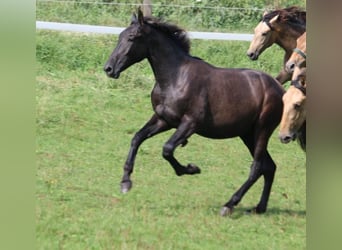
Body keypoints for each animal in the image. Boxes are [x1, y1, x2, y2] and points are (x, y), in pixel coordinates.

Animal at [103, 8, 284, 216]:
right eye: (120, 35)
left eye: (132, 37)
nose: (109, 68)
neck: (175, 78)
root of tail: (280, 89)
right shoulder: (163, 119)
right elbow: (137, 138)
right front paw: (126, 182)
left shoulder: (190, 123)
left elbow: (167, 149)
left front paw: (191, 169)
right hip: (247, 134)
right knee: (269, 166)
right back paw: (260, 207)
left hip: (262, 130)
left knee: (257, 167)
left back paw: (229, 204)